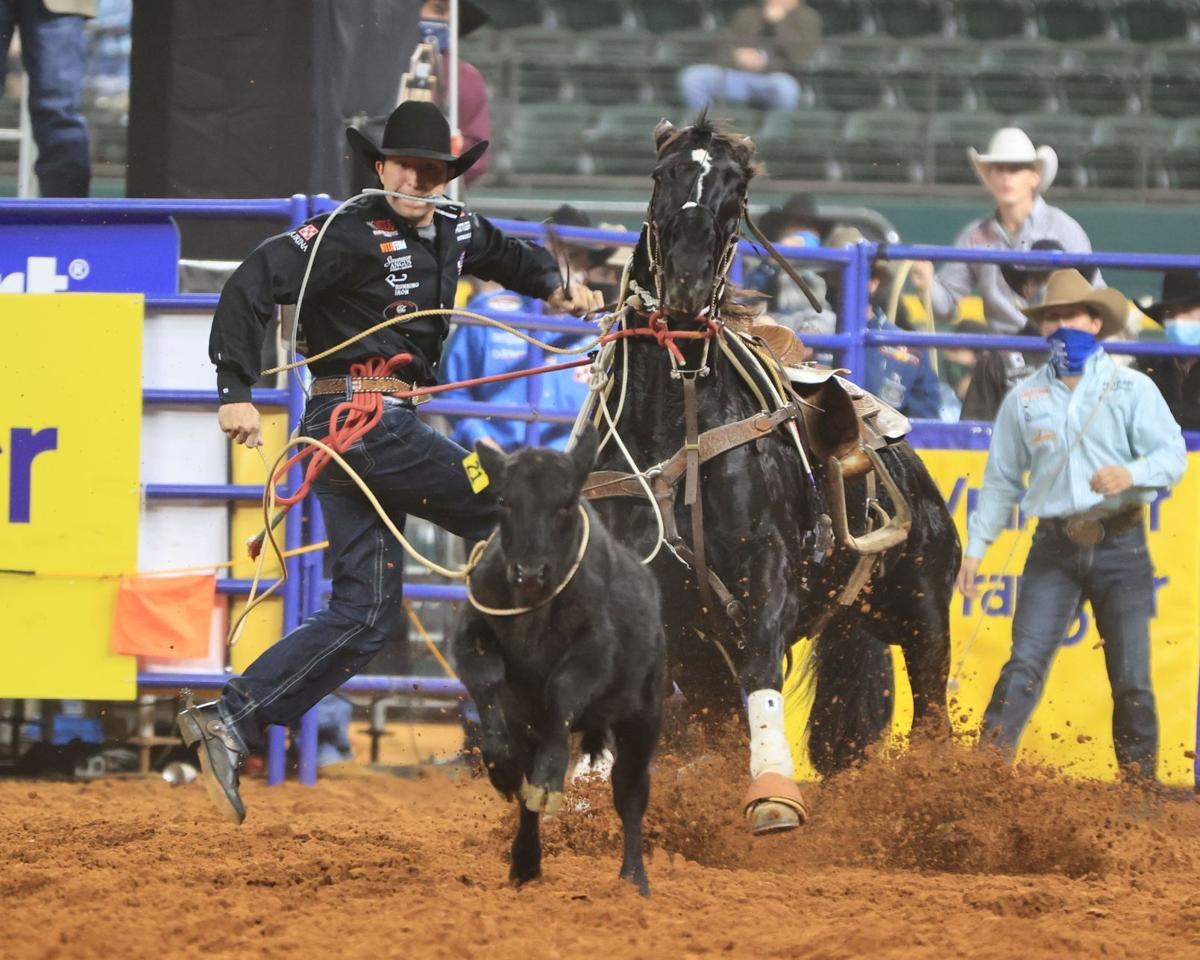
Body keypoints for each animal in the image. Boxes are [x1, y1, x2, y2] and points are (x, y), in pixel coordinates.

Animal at [453, 427, 672, 902]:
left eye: (567, 501)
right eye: (504, 500)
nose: (530, 571)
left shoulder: (594, 648)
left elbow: (562, 690)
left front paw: (550, 780)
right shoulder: (472, 630)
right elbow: (487, 684)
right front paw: (502, 771)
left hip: (644, 717)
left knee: (630, 792)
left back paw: (635, 880)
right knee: (530, 796)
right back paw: (524, 863)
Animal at [580, 114, 955, 830]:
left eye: (738, 190)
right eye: (661, 175)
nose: (688, 284)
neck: (677, 419)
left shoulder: (767, 563)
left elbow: (761, 666)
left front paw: (774, 791)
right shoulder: (664, 608)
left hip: (923, 610)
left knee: (934, 713)